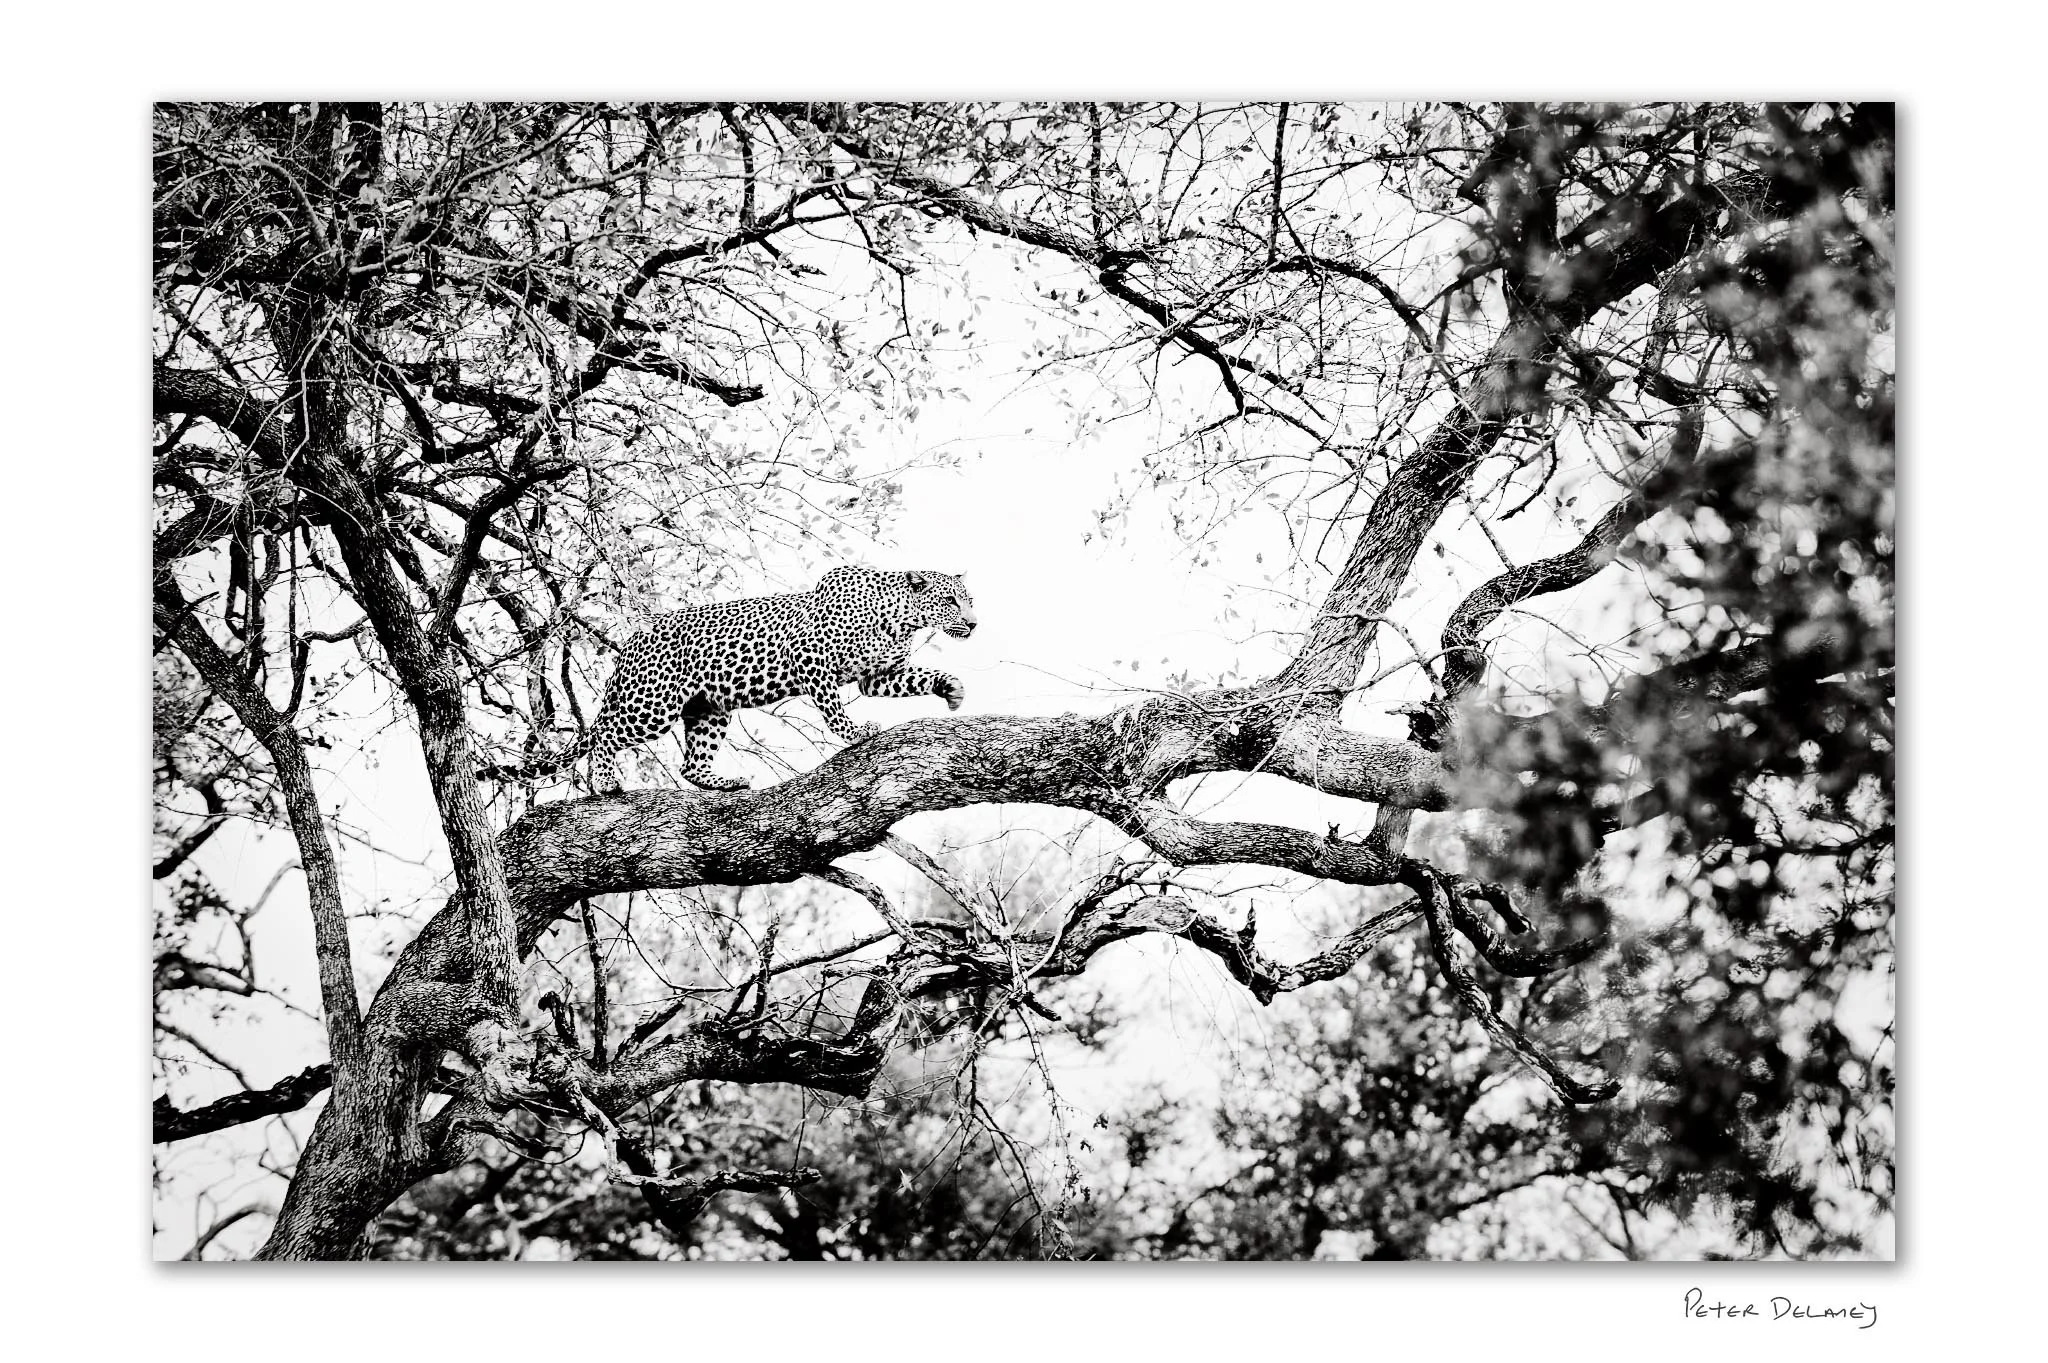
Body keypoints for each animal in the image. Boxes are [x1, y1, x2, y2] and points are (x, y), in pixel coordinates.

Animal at [483, 567, 975, 792]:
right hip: (652, 704)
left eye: (969, 600)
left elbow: (919, 677)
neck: (901, 620)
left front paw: (952, 689)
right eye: (951, 600)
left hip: (709, 708)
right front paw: (857, 733)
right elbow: (834, 710)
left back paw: (726, 783)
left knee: (690, 765)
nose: (973, 624)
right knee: (604, 734)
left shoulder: (878, 675)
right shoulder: (810, 661)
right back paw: (605, 782)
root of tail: (631, 642)